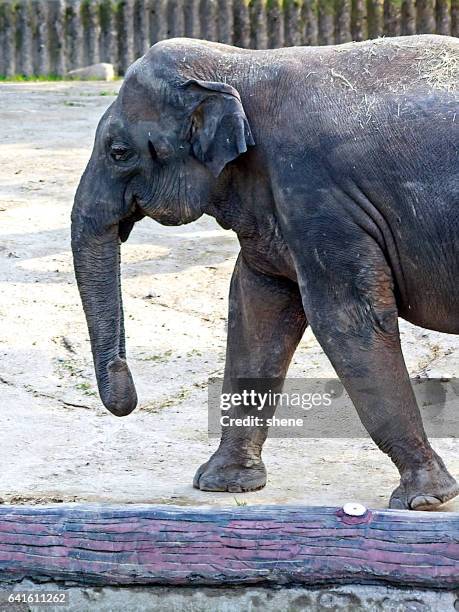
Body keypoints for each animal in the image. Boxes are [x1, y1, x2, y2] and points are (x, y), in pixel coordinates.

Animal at [72, 34, 459, 512]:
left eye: (119, 152)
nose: (127, 395)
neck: (240, 64)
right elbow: (256, 312)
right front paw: (223, 484)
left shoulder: (319, 196)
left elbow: (346, 318)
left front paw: (424, 500)